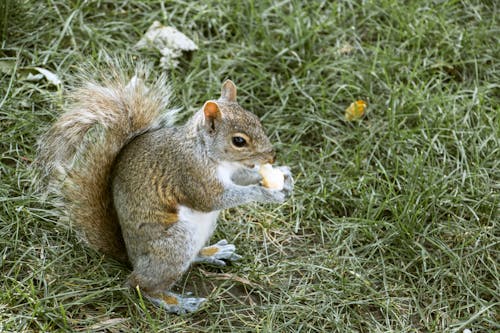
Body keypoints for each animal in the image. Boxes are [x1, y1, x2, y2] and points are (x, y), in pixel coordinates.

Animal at [36, 65, 292, 314]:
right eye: (239, 141)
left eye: (257, 121)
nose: (272, 156)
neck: (206, 151)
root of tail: (131, 258)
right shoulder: (191, 174)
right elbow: (213, 199)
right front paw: (266, 193)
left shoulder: (232, 172)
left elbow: (242, 178)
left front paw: (284, 176)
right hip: (175, 244)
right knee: (138, 284)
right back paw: (174, 302)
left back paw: (212, 253)